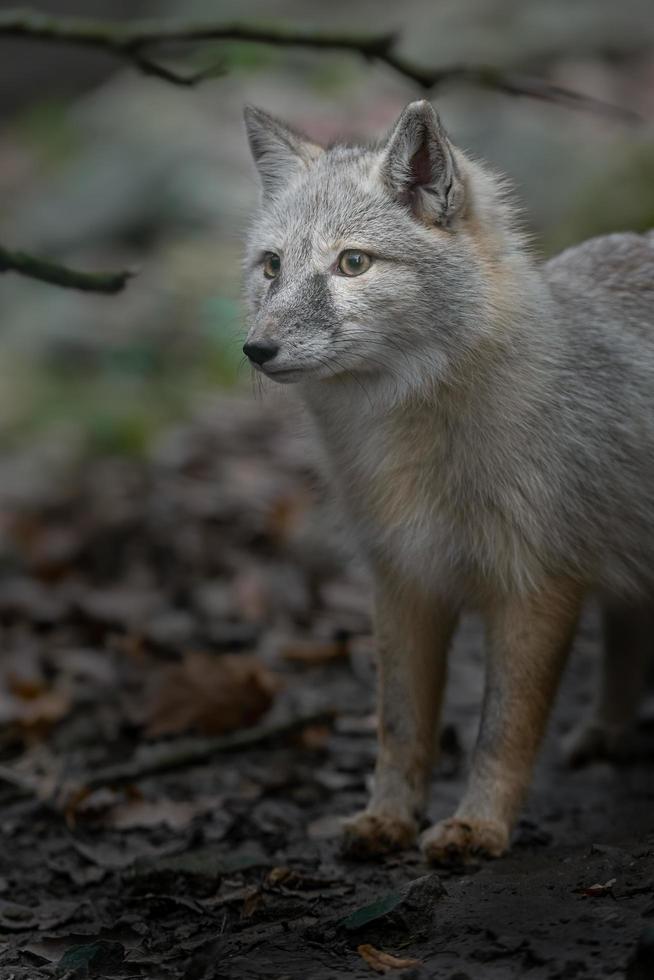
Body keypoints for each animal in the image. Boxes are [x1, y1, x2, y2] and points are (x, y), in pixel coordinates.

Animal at [242, 99, 654, 860]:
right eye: (271, 267)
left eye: (352, 263)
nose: (256, 349)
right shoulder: (403, 580)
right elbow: (400, 726)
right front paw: (387, 818)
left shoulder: (536, 586)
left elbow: (504, 730)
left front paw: (479, 826)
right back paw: (608, 730)